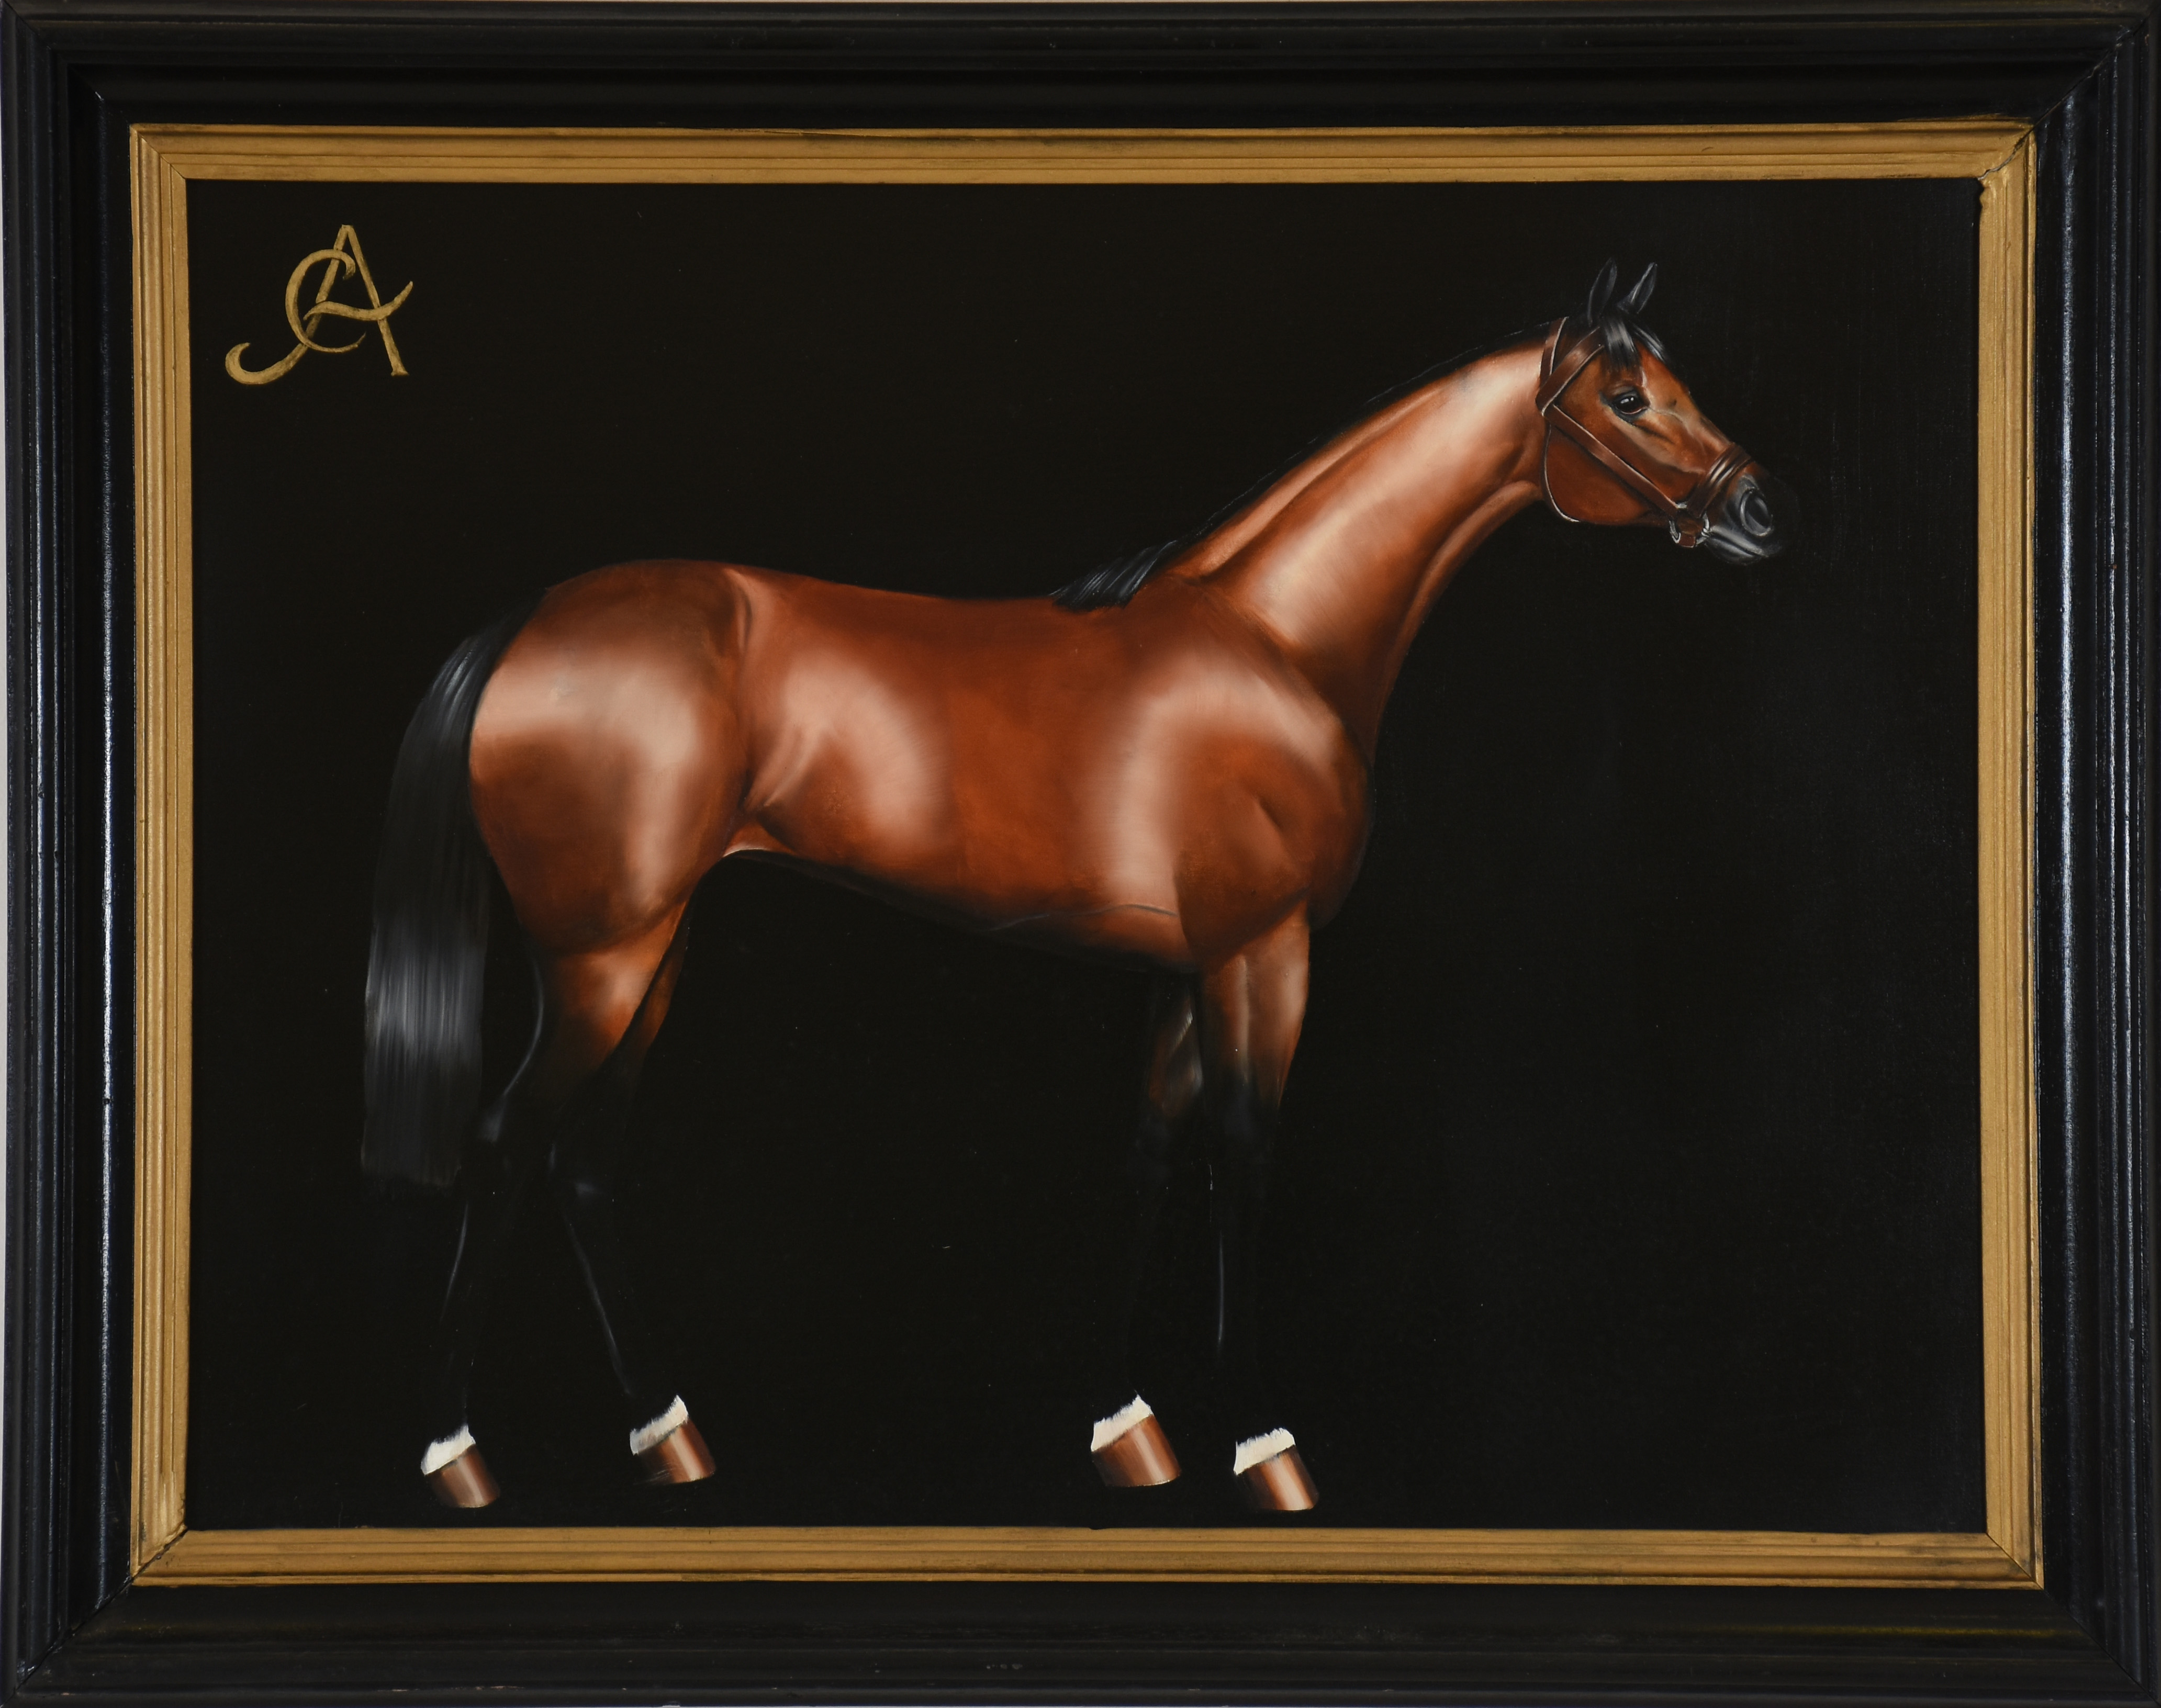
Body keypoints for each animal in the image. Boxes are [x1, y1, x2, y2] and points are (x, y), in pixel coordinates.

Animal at [362, 260, 1787, 1514]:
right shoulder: (1262, 952)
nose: (1757, 510)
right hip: (599, 959)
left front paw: (1125, 1430)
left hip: (652, 951)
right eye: (1627, 397)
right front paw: (1264, 1447)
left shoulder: (1188, 966)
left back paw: (670, 1438)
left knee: (582, 1163)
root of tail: (534, 621)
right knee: (506, 1147)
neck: (1273, 643)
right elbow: (1242, 1161)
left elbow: (1148, 1159)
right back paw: (454, 1457)